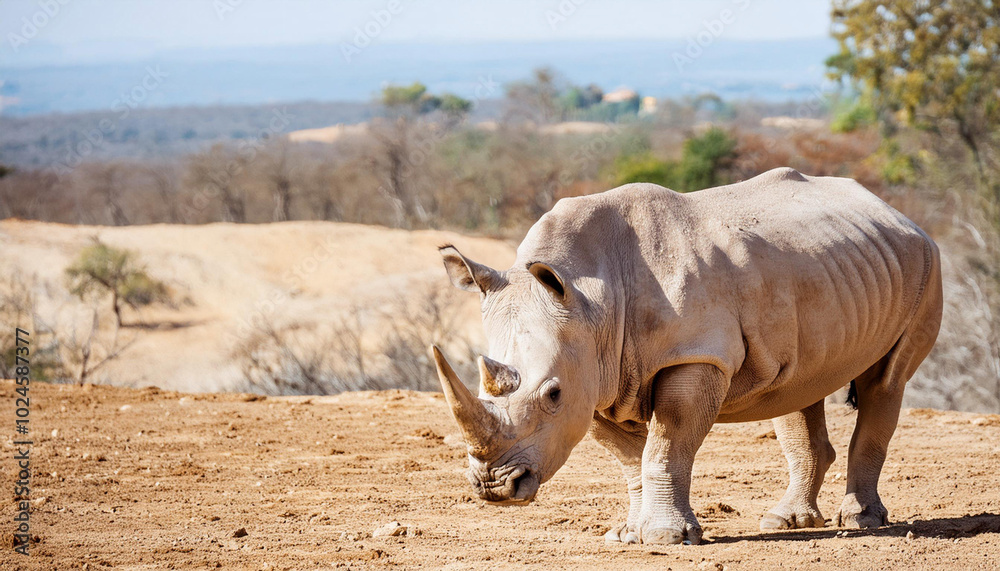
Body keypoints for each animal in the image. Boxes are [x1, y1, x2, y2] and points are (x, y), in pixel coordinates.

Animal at [430, 167, 942, 545]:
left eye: (552, 395)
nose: (496, 486)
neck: (592, 296)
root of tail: (895, 213)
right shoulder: (595, 375)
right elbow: (629, 458)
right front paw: (627, 534)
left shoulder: (694, 355)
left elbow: (667, 443)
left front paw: (666, 538)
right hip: (831, 269)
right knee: (800, 388)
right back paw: (785, 522)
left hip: (926, 263)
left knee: (886, 381)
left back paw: (861, 522)